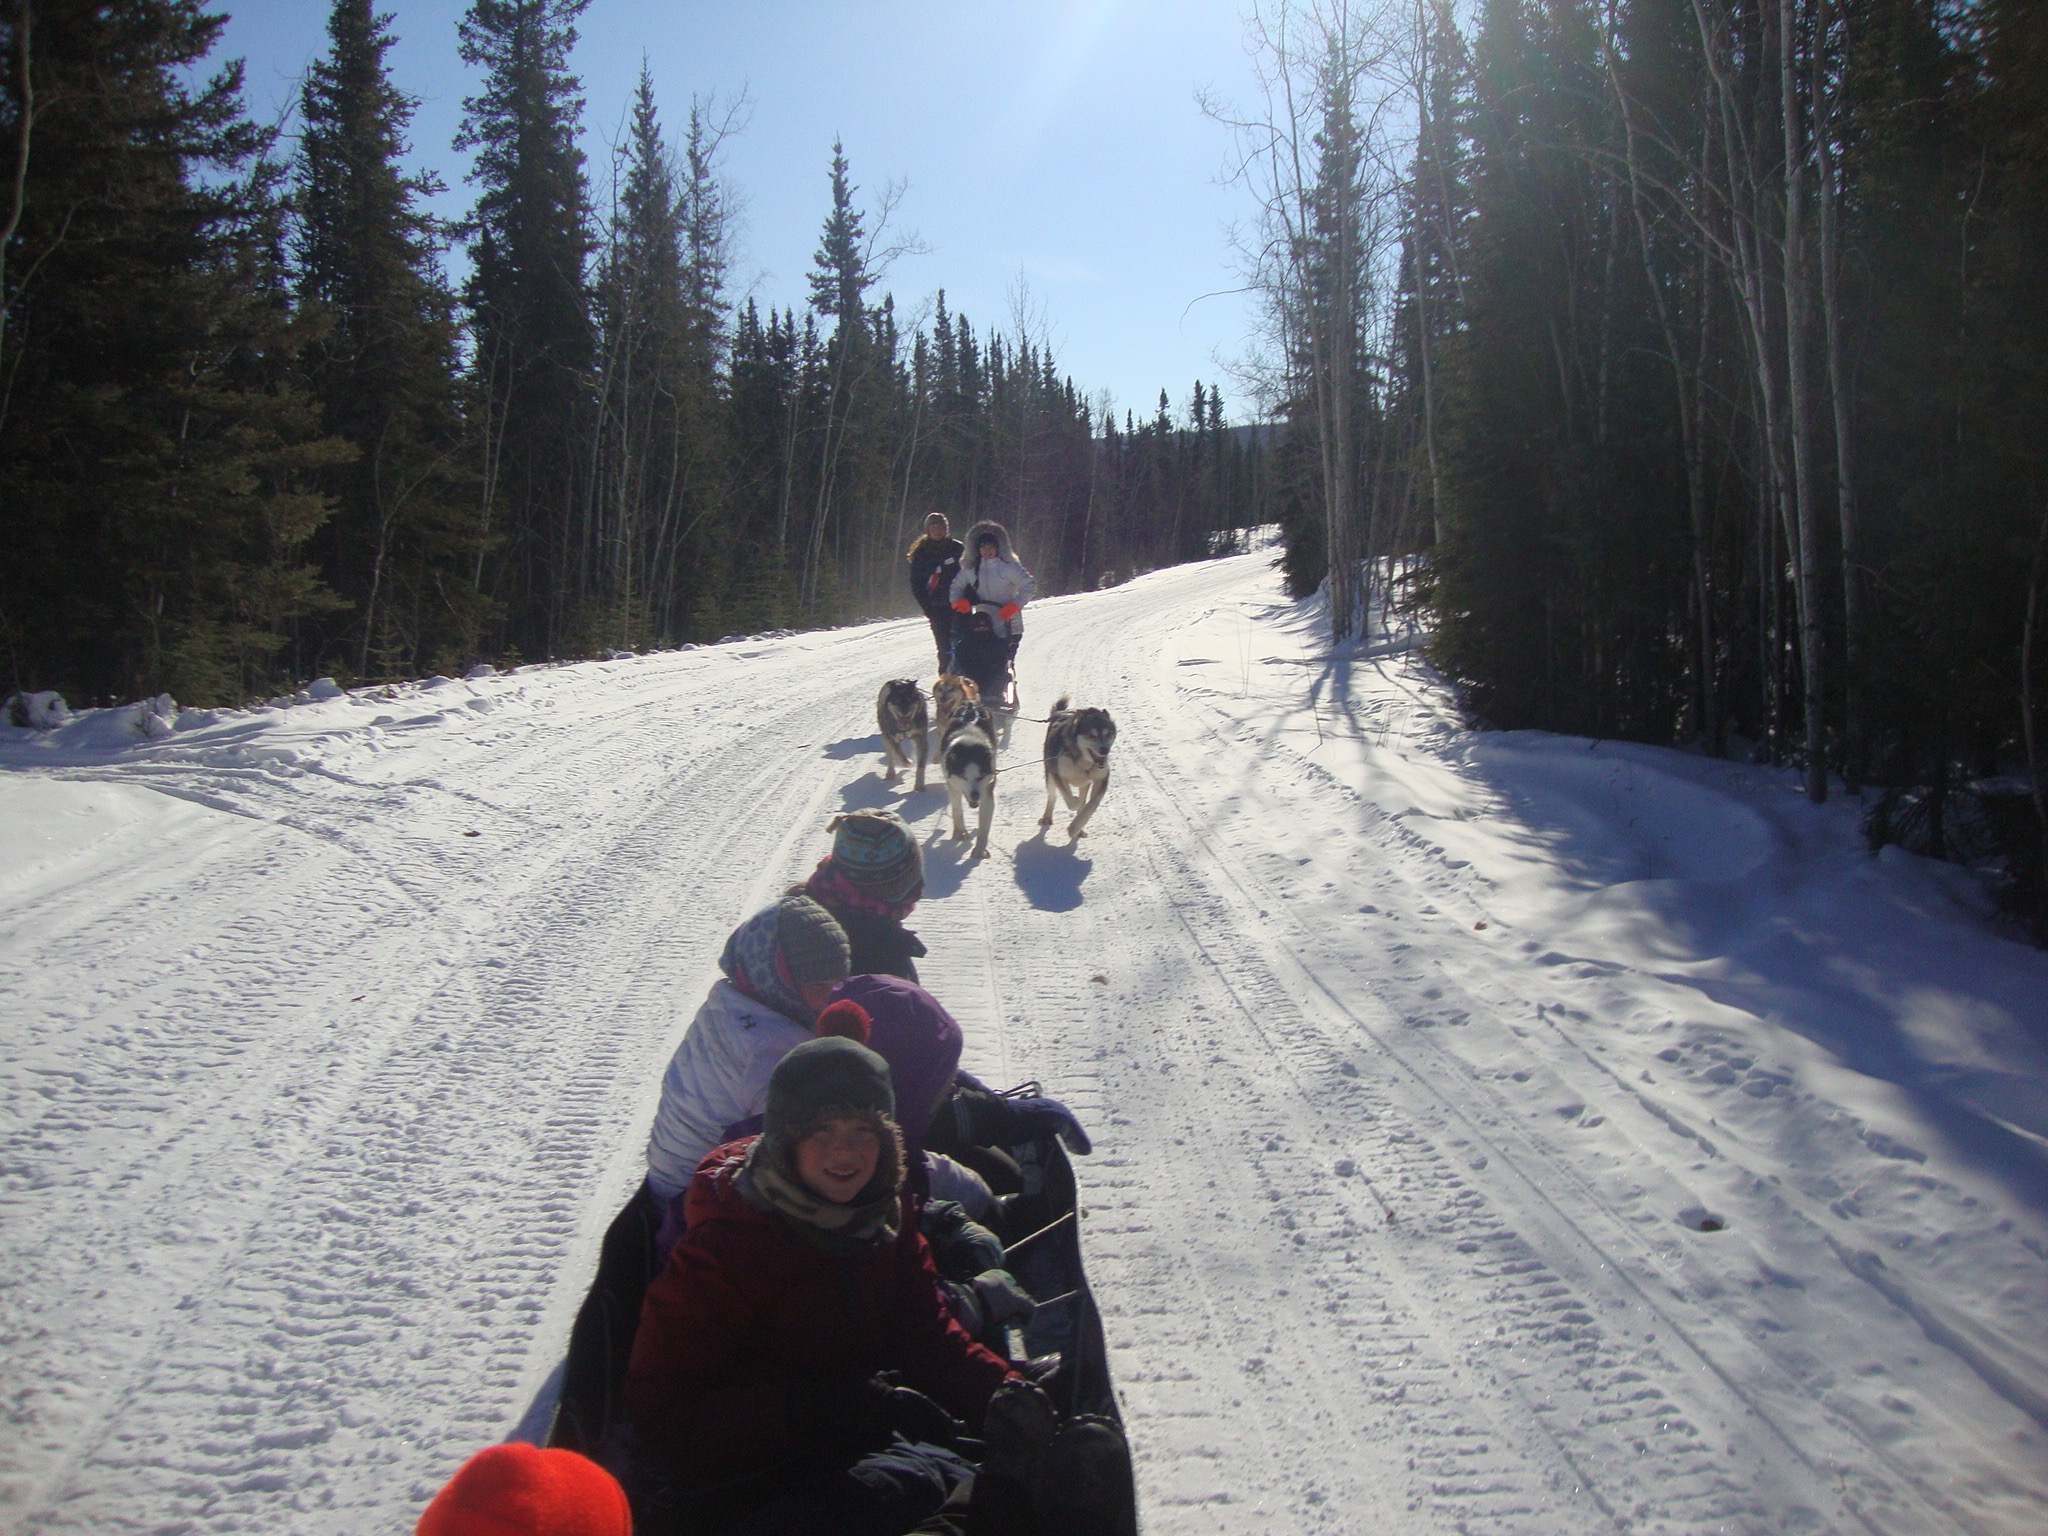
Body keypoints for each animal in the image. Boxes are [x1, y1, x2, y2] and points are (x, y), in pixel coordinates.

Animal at [942, 704, 999, 860]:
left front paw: (979, 850)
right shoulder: (952, 784)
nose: (975, 795)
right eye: (963, 776)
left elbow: (984, 826)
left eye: (981, 776)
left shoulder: (987, 790)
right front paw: (960, 831)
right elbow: (957, 809)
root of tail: (970, 704)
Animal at [1040, 696, 1122, 843]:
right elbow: (1070, 801)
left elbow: (1090, 806)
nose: (1104, 750)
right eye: (1092, 735)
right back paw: (1047, 817)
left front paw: (1075, 828)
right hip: (1050, 775)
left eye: (1109, 734)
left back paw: (1079, 829)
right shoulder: (1058, 775)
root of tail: (1060, 713)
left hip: (1084, 784)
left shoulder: (1101, 779)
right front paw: (1075, 801)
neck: (1084, 763)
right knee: (1052, 796)